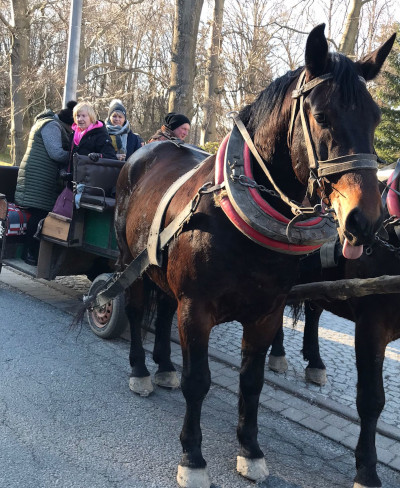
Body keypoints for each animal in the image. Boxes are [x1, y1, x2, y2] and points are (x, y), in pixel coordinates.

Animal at [111, 25, 394, 488]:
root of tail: (149, 149)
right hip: (128, 260)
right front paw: (193, 457)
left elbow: (252, 382)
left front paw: (251, 449)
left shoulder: (266, 312)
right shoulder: (197, 308)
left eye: (376, 117)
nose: (364, 220)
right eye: (322, 116)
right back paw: (140, 370)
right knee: (136, 310)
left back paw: (163, 365)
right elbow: (198, 380)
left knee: (164, 310)